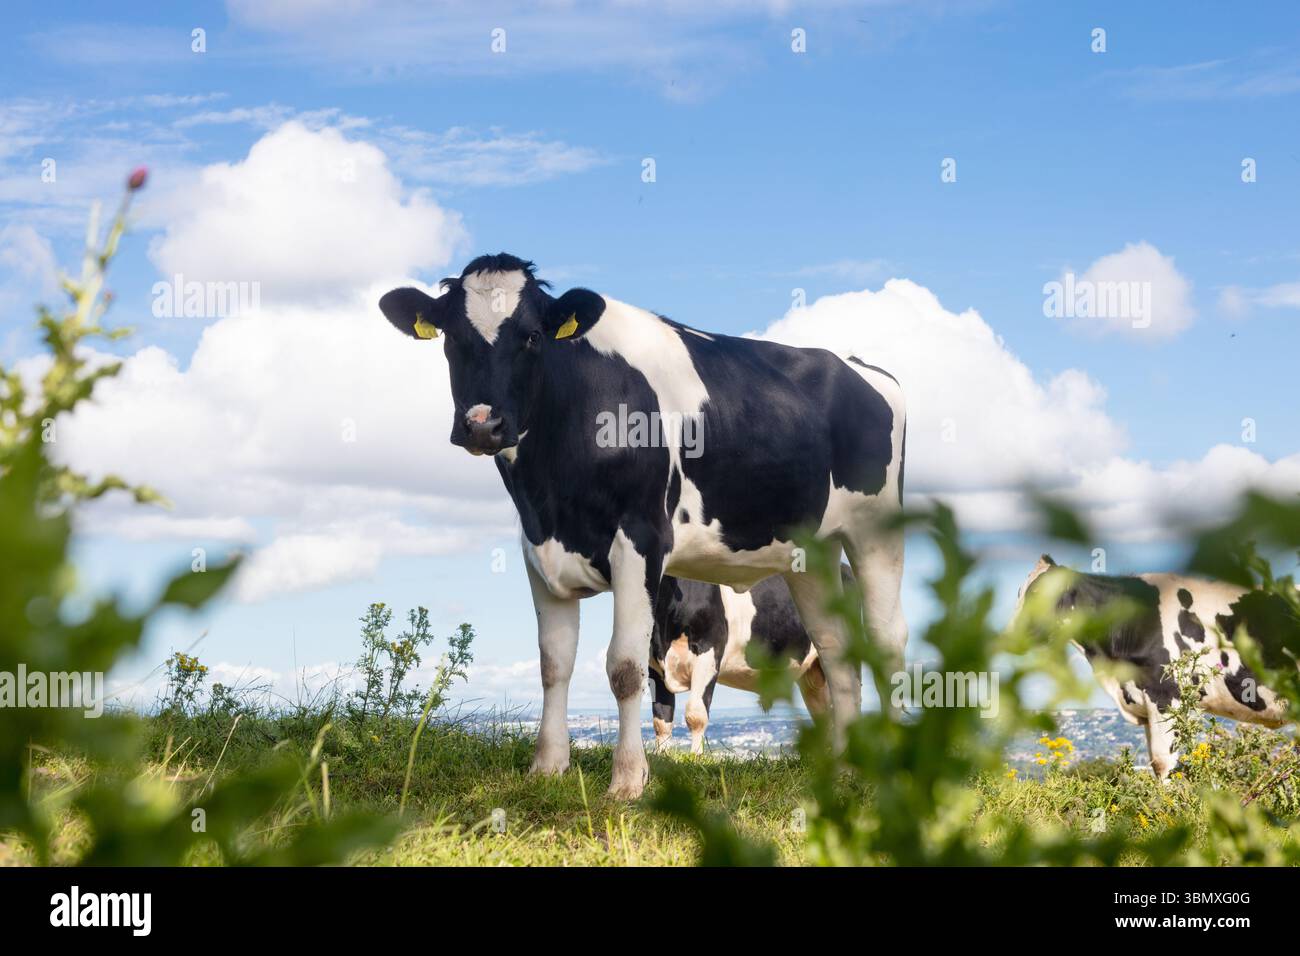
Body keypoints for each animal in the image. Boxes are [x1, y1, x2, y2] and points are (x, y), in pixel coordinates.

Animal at [650, 573, 836, 754]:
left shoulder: (709, 652)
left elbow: (695, 715)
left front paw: (695, 757)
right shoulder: (655, 666)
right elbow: (662, 720)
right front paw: (663, 758)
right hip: (812, 678)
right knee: (825, 717)